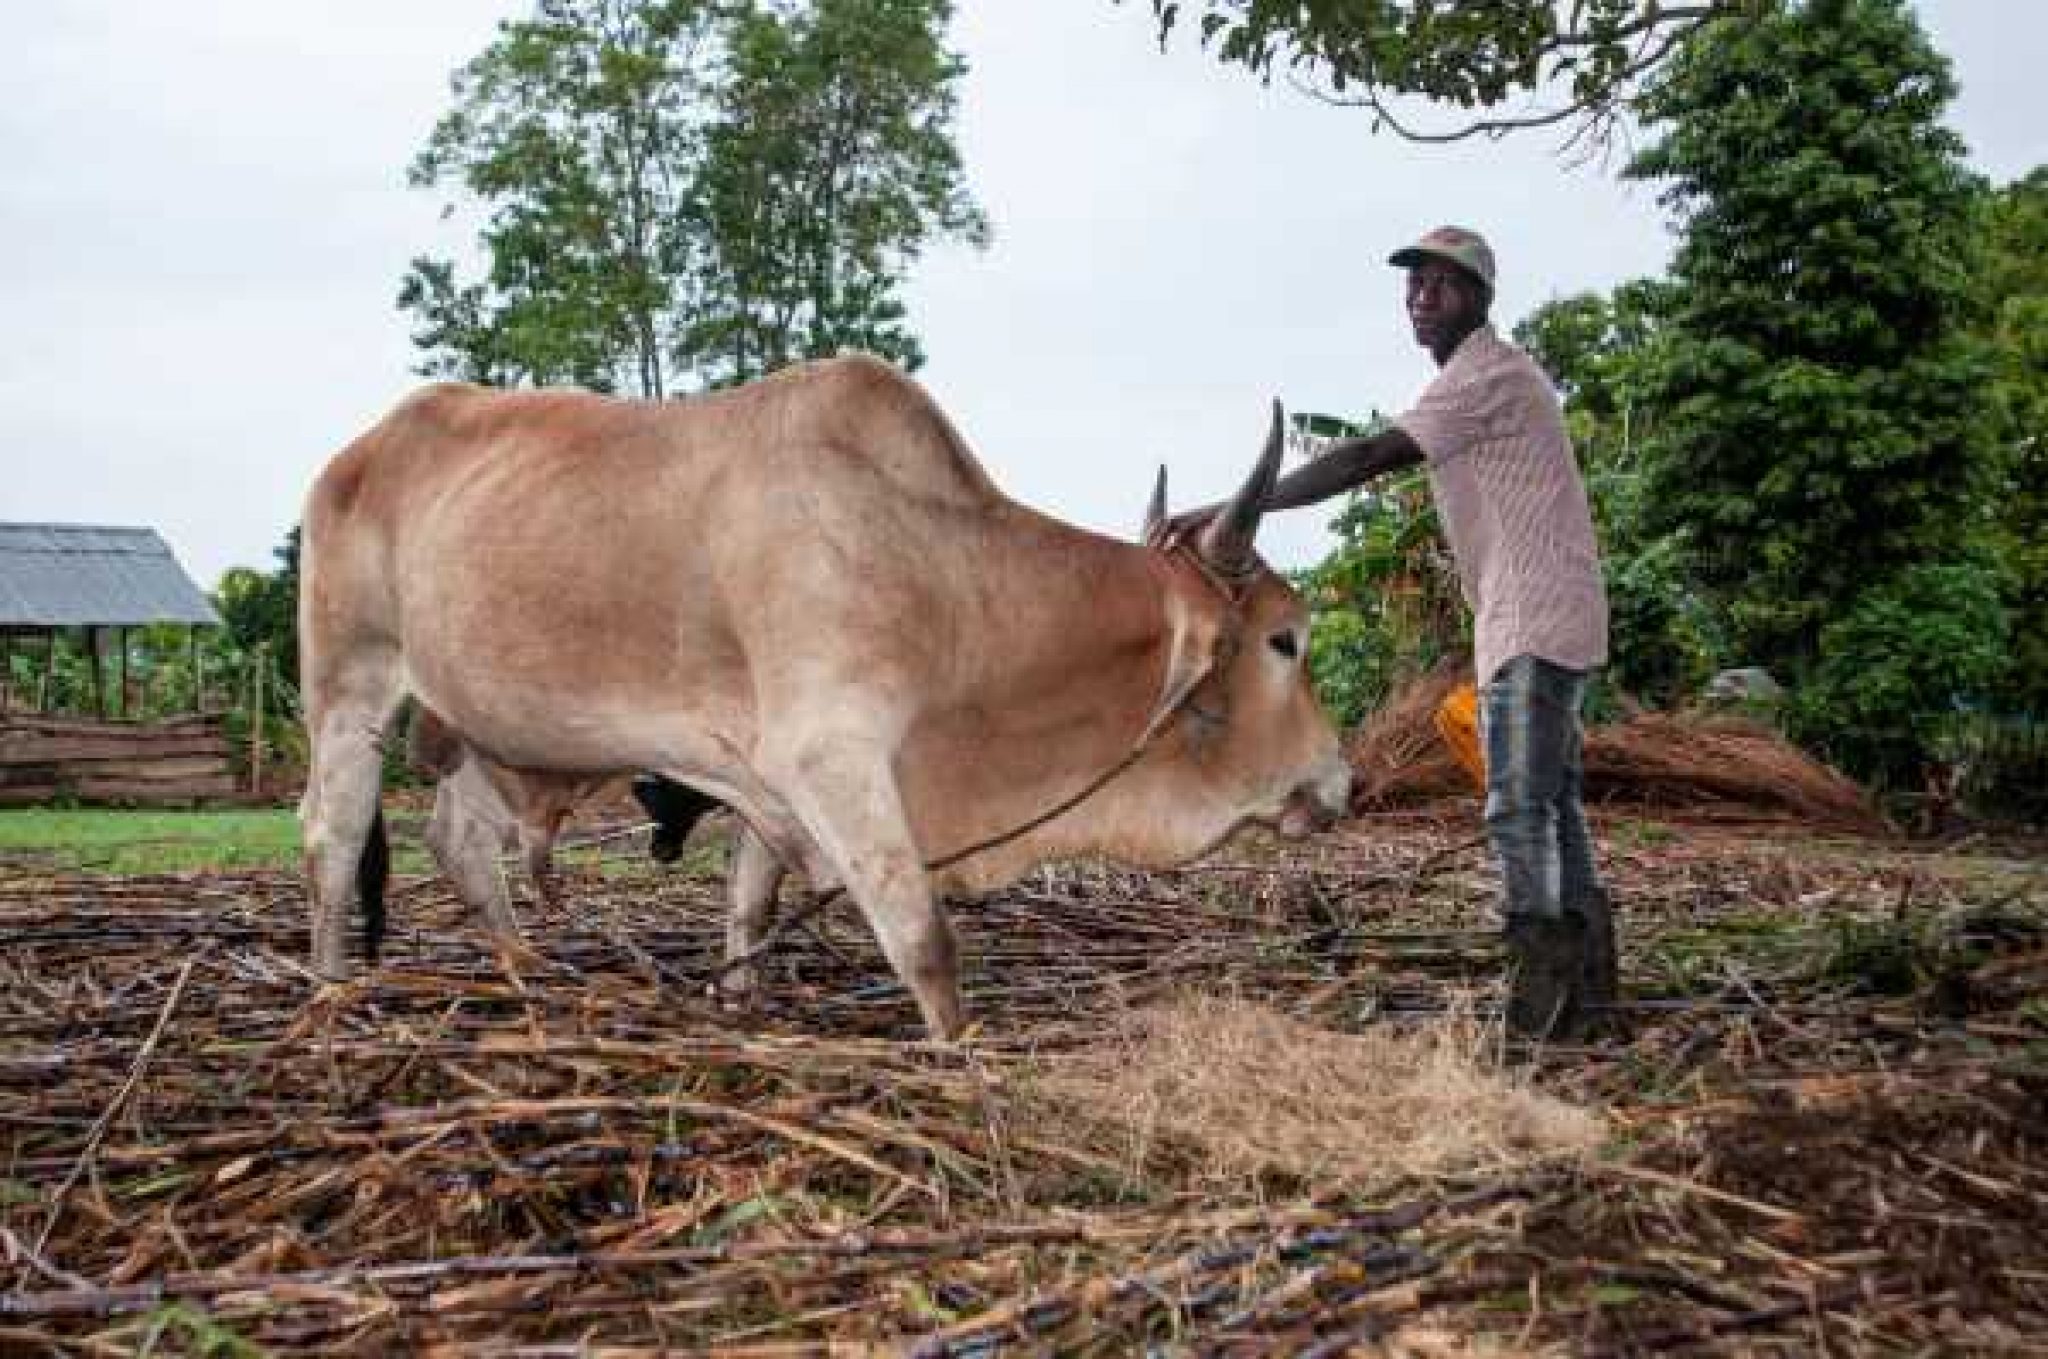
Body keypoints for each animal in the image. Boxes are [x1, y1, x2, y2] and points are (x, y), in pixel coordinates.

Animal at [298, 355, 1351, 1037]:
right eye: (1286, 638)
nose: (1340, 780)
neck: (944, 577)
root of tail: (358, 449)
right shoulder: (832, 756)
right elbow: (926, 939)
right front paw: (965, 1063)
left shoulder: (766, 774)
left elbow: (751, 900)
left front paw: (738, 1002)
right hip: (350, 684)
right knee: (332, 835)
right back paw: (329, 991)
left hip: (488, 726)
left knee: (458, 839)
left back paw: (526, 975)